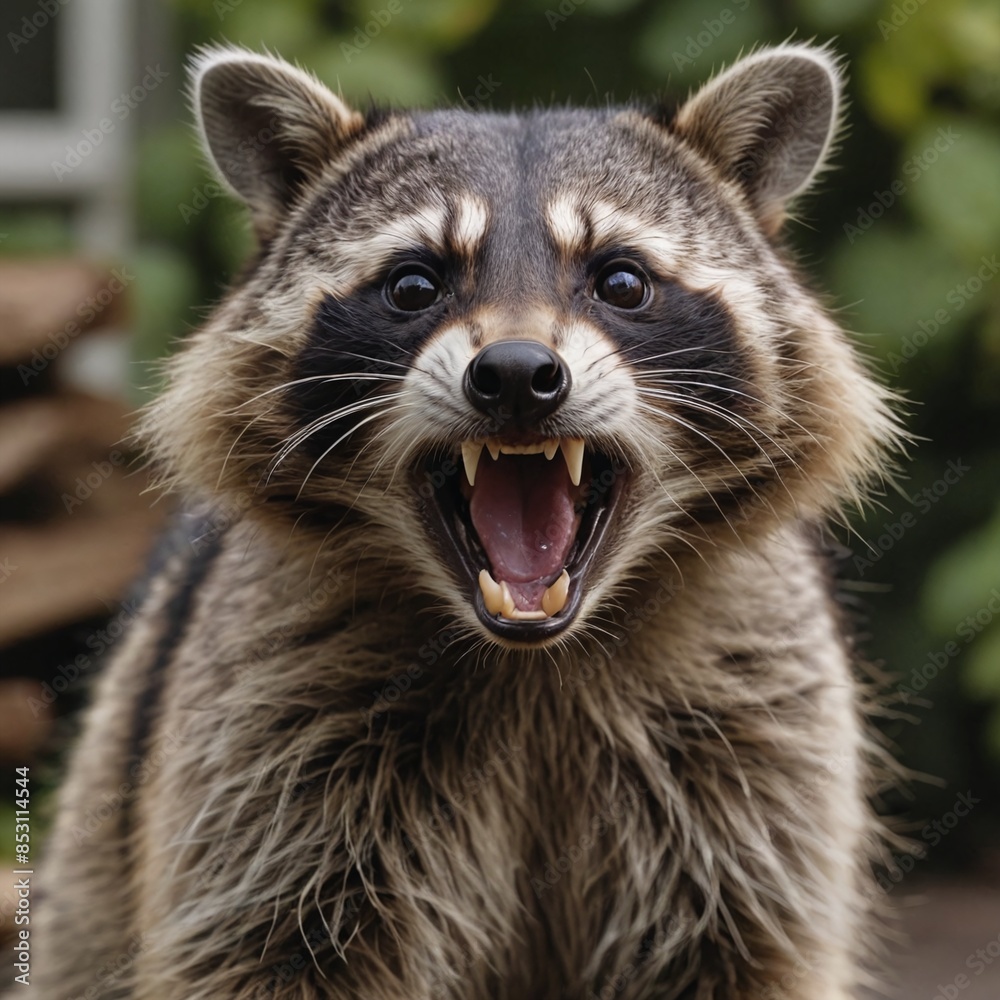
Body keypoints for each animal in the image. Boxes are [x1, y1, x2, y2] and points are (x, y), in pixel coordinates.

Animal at [32, 42, 901, 1000]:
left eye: (621, 280)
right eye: (414, 284)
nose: (519, 373)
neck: (533, 660)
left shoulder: (760, 738)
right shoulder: (267, 748)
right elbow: (263, 946)